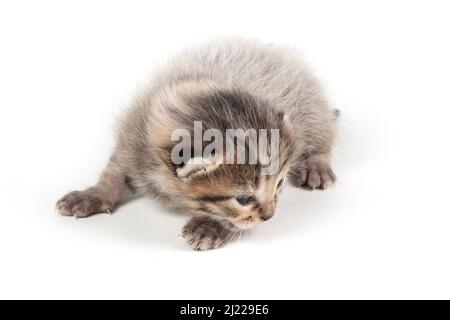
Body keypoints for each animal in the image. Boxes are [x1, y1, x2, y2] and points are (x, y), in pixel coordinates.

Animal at [56, 38, 338, 250]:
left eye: (279, 184)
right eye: (244, 198)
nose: (270, 216)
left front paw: (209, 226)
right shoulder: (132, 144)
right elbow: (113, 173)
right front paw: (92, 195)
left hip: (311, 107)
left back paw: (317, 166)